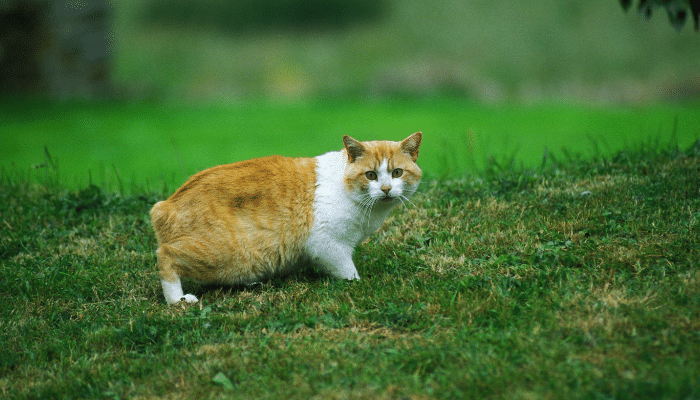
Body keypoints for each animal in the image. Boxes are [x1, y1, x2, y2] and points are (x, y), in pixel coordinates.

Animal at [150, 131, 422, 304]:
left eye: (397, 173)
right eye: (371, 175)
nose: (386, 189)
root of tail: (165, 205)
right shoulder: (328, 245)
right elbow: (348, 272)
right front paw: (357, 284)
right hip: (220, 254)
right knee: (166, 256)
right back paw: (176, 300)